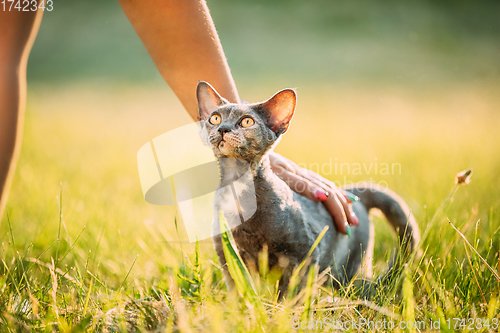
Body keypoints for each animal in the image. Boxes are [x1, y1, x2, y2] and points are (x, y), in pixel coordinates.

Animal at [197, 80, 420, 296]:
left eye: (246, 121)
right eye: (215, 118)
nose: (223, 128)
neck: (237, 187)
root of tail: (351, 193)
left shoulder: (305, 252)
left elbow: (292, 293)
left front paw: (283, 309)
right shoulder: (226, 253)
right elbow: (238, 288)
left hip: (349, 273)